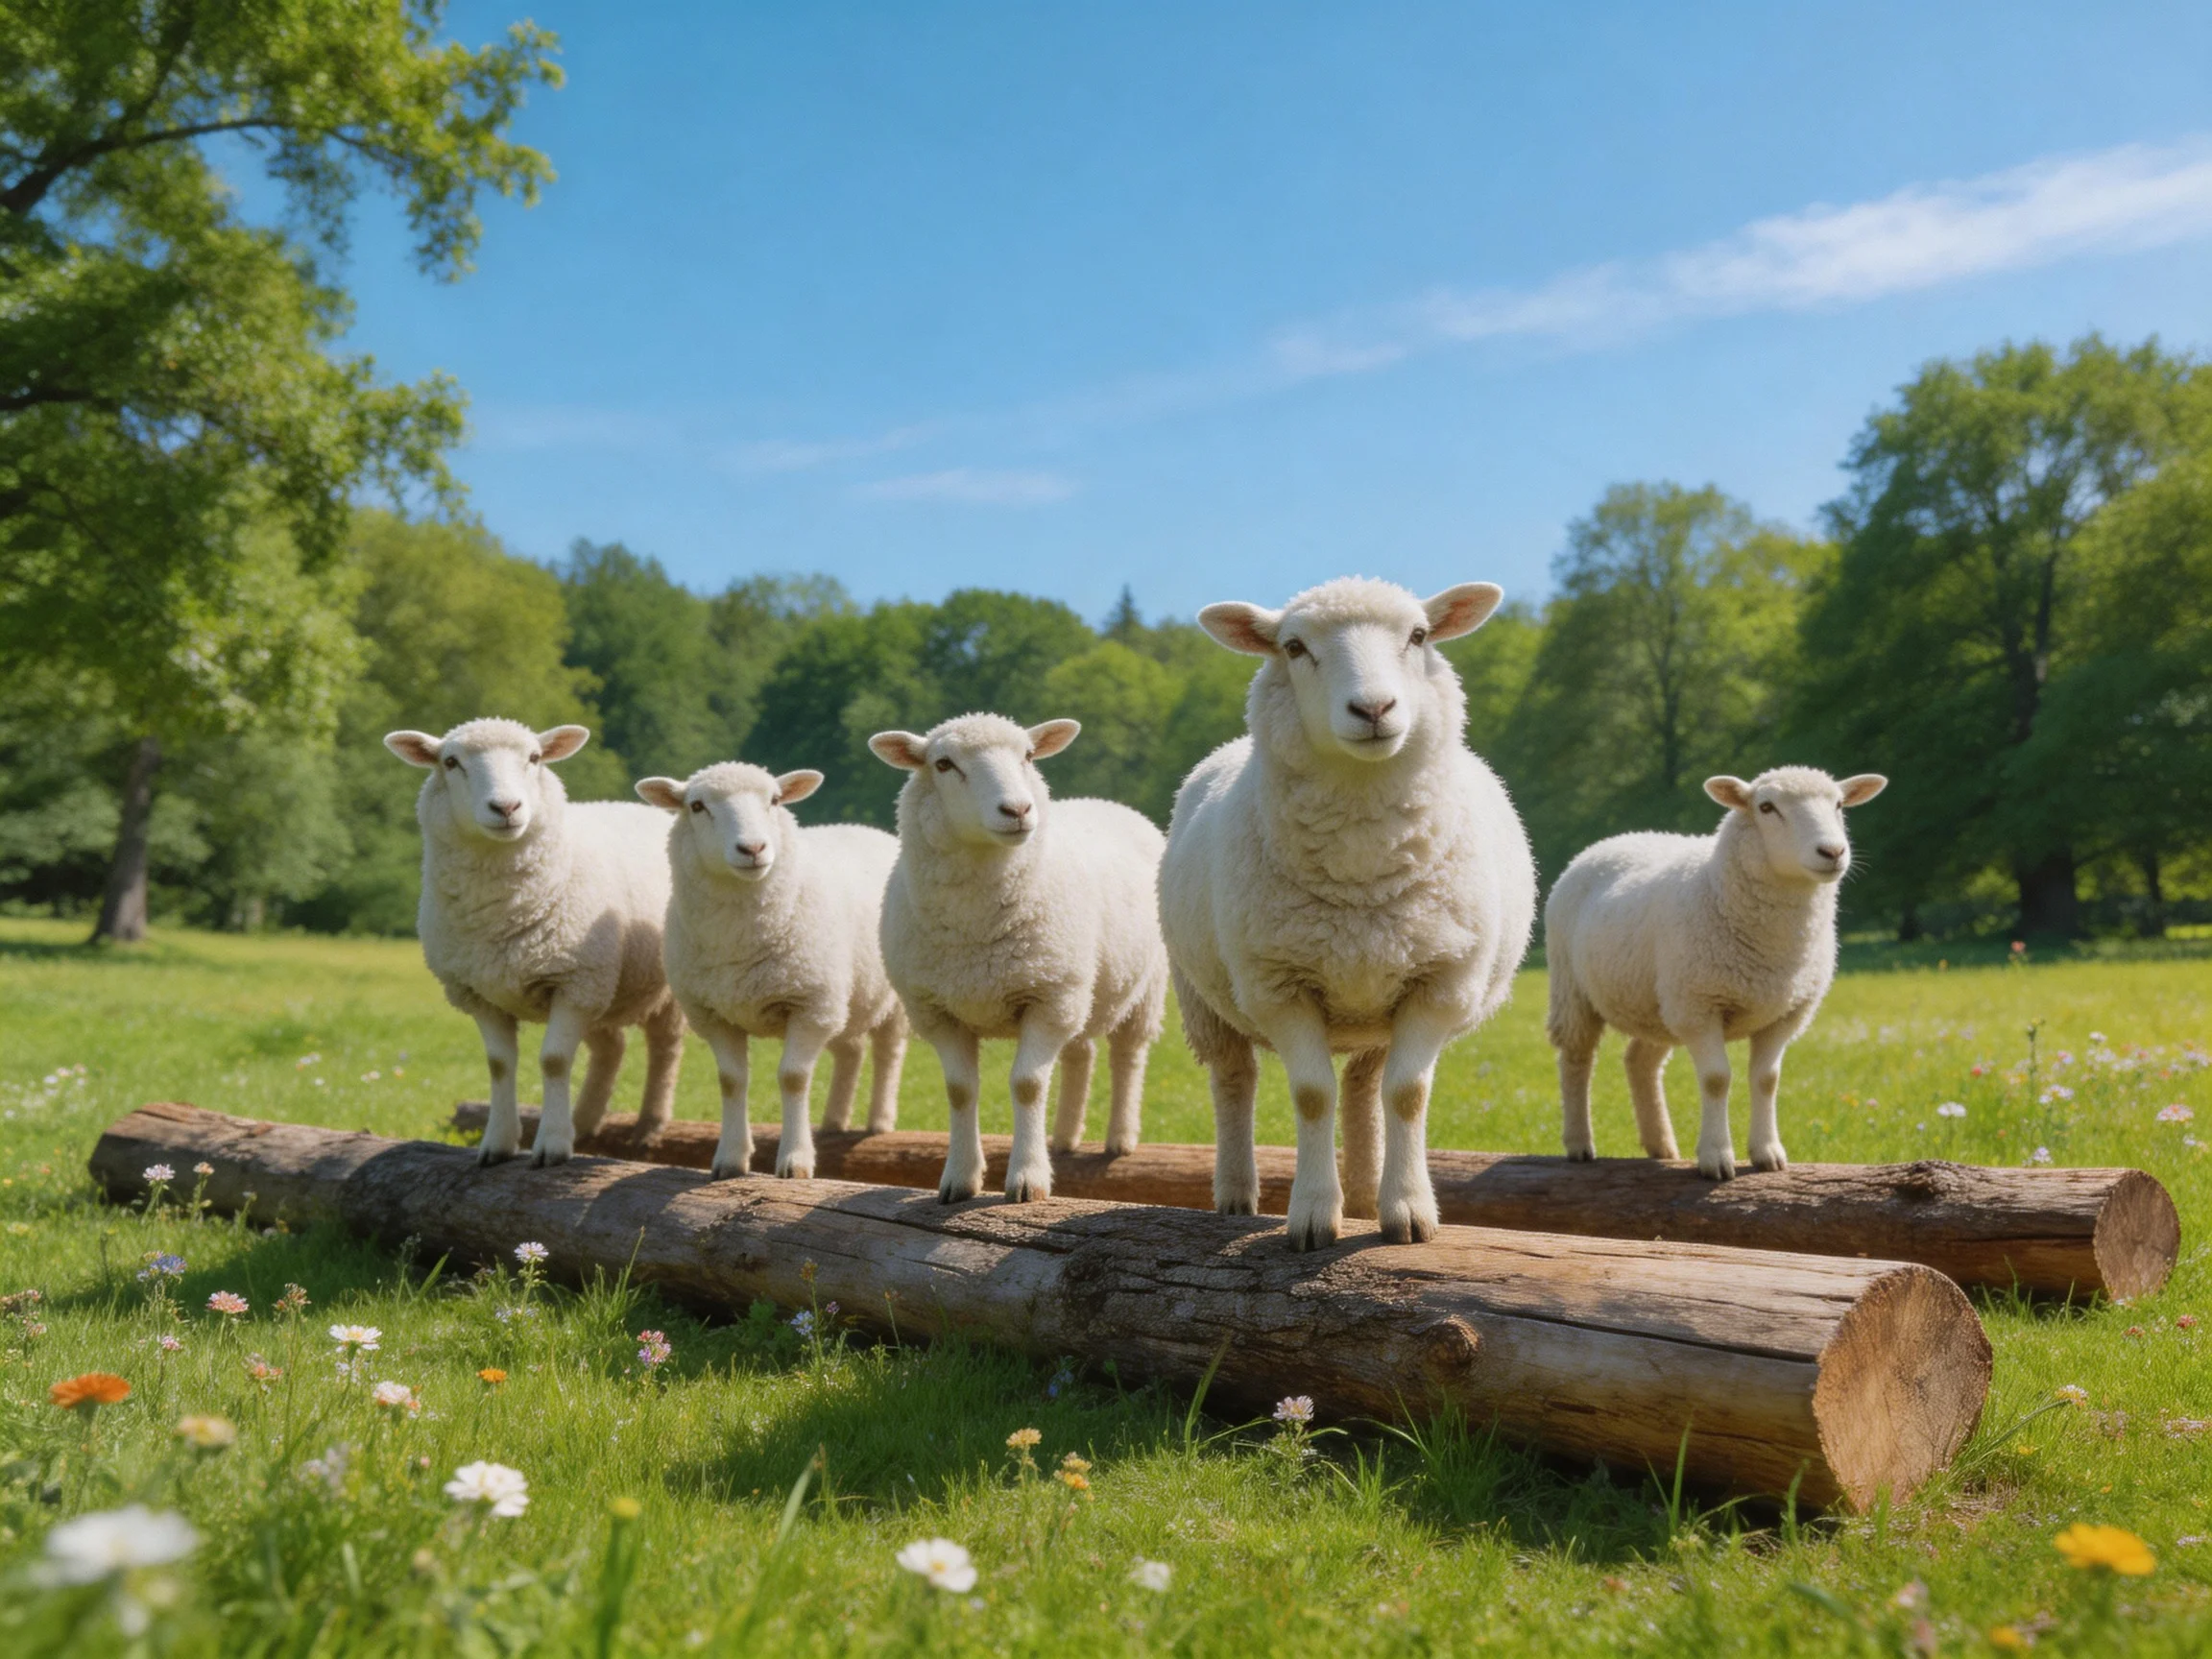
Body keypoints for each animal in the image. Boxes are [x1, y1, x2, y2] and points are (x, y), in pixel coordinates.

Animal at [384, 719, 685, 1167]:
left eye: (534, 758)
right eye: (450, 762)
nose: (506, 808)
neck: (502, 915)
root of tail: (644, 809)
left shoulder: (573, 982)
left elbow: (554, 1061)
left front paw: (553, 1145)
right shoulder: (478, 992)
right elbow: (499, 1065)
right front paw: (498, 1142)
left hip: (653, 986)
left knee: (664, 1048)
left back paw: (649, 1124)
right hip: (604, 988)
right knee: (610, 1047)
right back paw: (585, 1120)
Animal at [634, 762, 908, 1181]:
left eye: (775, 800)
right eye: (696, 806)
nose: (753, 849)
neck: (740, 943)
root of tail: (868, 830)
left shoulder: (809, 1005)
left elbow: (793, 1077)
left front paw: (795, 1160)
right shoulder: (713, 1014)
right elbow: (731, 1081)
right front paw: (730, 1158)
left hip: (885, 998)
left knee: (888, 1051)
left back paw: (879, 1120)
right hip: (843, 997)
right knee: (851, 1049)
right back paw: (834, 1120)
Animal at [868, 713, 1168, 1204]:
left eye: (1028, 756)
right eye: (944, 764)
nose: (1018, 811)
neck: (977, 930)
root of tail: (1106, 802)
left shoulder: (1047, 997)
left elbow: (1027, 1085)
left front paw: (1028, 1178)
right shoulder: (937, 1010)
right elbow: (959, 1090)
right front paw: (959, 1178)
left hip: (1140, 988)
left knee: (1128, 1056)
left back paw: (1120, 1139)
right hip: (1080, 988)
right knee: (1080, 1052)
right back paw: (1063, 1138)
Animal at [1160, 577, 1537, 1251]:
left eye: (1419, 635)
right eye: (1293, 646)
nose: (1374, 709)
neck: (1362, 859)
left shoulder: (1438, 983)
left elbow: (1408, 1095)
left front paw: (1408, 1212)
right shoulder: (1279, 986)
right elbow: (1312, 1095)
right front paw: (1312, 1215)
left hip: (1377, 1007)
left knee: (1366, 1089)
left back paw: (1367, 1196)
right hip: (1203, 999)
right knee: (1234, 1082)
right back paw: (1235, 1195)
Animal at [1544, 766, 1888, 1180]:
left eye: (1839, 804)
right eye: (1766, 807)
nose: (1833, 852)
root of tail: (1614, 839)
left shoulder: (1786, 1012)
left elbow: (1767, 1080)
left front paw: (1767, 1153)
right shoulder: (1700, 1007)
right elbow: (1716, 1079)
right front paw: (1716, 1157)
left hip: (1660, 1003)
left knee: (1640, 1062)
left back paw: (1661, 1146)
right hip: (1574, 989)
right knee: (1576, 1060)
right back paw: (1579, 1143)